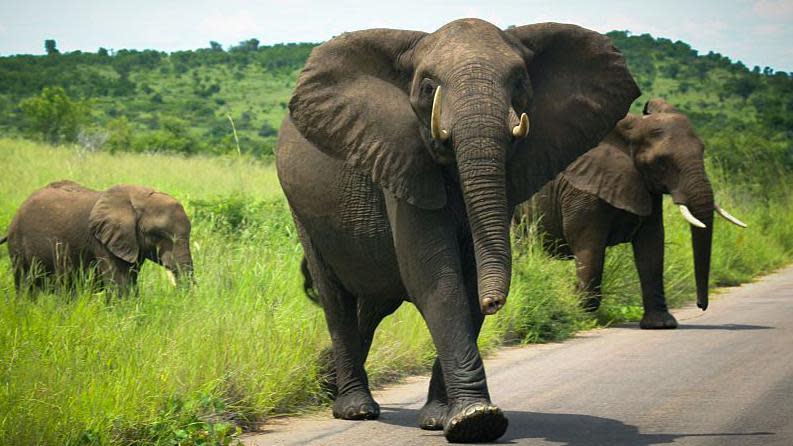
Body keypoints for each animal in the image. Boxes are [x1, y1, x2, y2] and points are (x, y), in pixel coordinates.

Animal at [276, 18, 636, 442]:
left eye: (519, 81)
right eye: (428, 86)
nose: (494, 302)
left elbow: (466, 279)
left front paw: (443, 418)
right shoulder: (402, 156)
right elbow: (436, 278)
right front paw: (477, 420)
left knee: (375, 301)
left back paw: (328, 380)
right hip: (301, 210)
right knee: (336, 299)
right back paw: (355, 408)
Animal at [510, 99, 744, 330]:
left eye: (703, 151)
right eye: (662, 162)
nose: (700, 305)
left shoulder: (647, 188)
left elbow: (652, 246)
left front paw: (661, 324)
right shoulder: (582, 191)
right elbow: (589, 249)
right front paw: (578, 312)